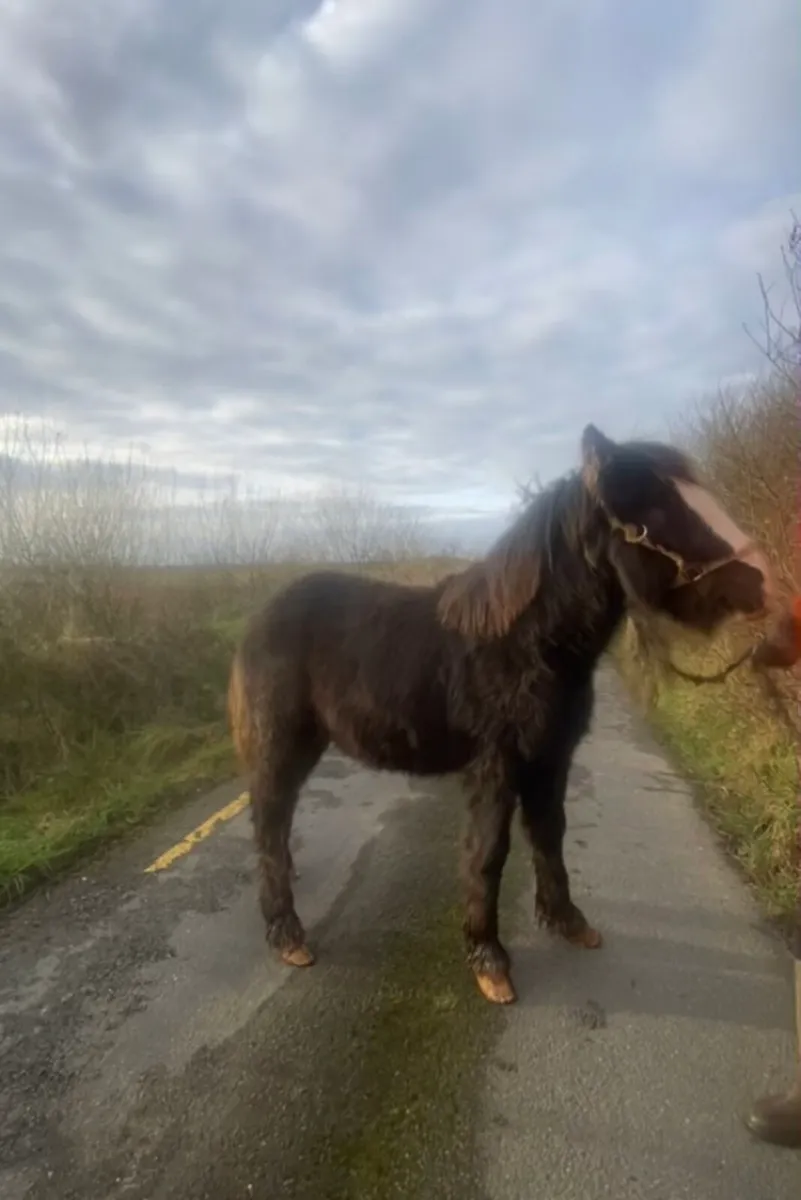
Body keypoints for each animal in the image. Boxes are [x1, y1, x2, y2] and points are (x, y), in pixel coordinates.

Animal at [227, 423, 772, 1005]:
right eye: (658, 508)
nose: (763, 581)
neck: (526, 643)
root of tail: (261, 616)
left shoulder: (550, 760)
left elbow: (550, 833)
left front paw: (568, 921)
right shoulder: (496, 765)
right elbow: (489, 853)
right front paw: (489, 959)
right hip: (282, 745)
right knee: (270, 822)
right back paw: (288, 934)